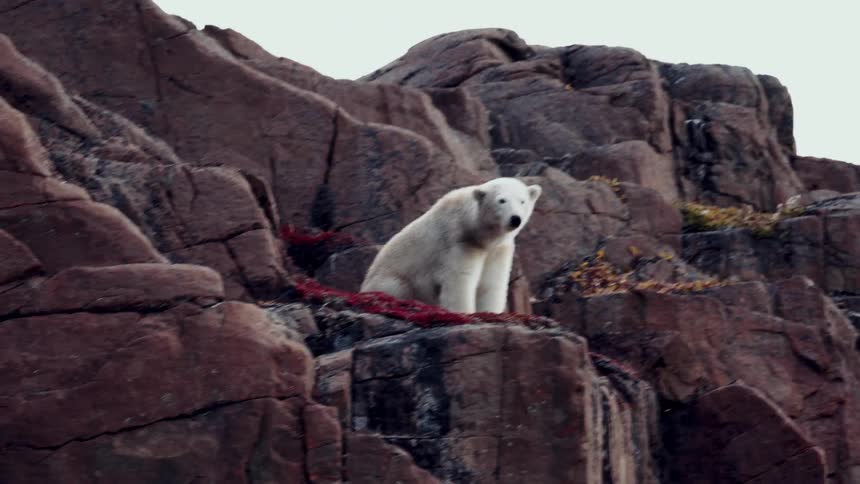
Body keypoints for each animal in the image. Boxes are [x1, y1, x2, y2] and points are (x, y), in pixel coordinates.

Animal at [360, 177, 542, 313]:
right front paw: (465, 313)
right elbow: (459, 280)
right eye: (501, 200)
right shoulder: (459, 242)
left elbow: (491, 283)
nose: (515, 219)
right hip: (390, 279)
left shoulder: (498, 250)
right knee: (397, 287)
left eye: (522, 201)